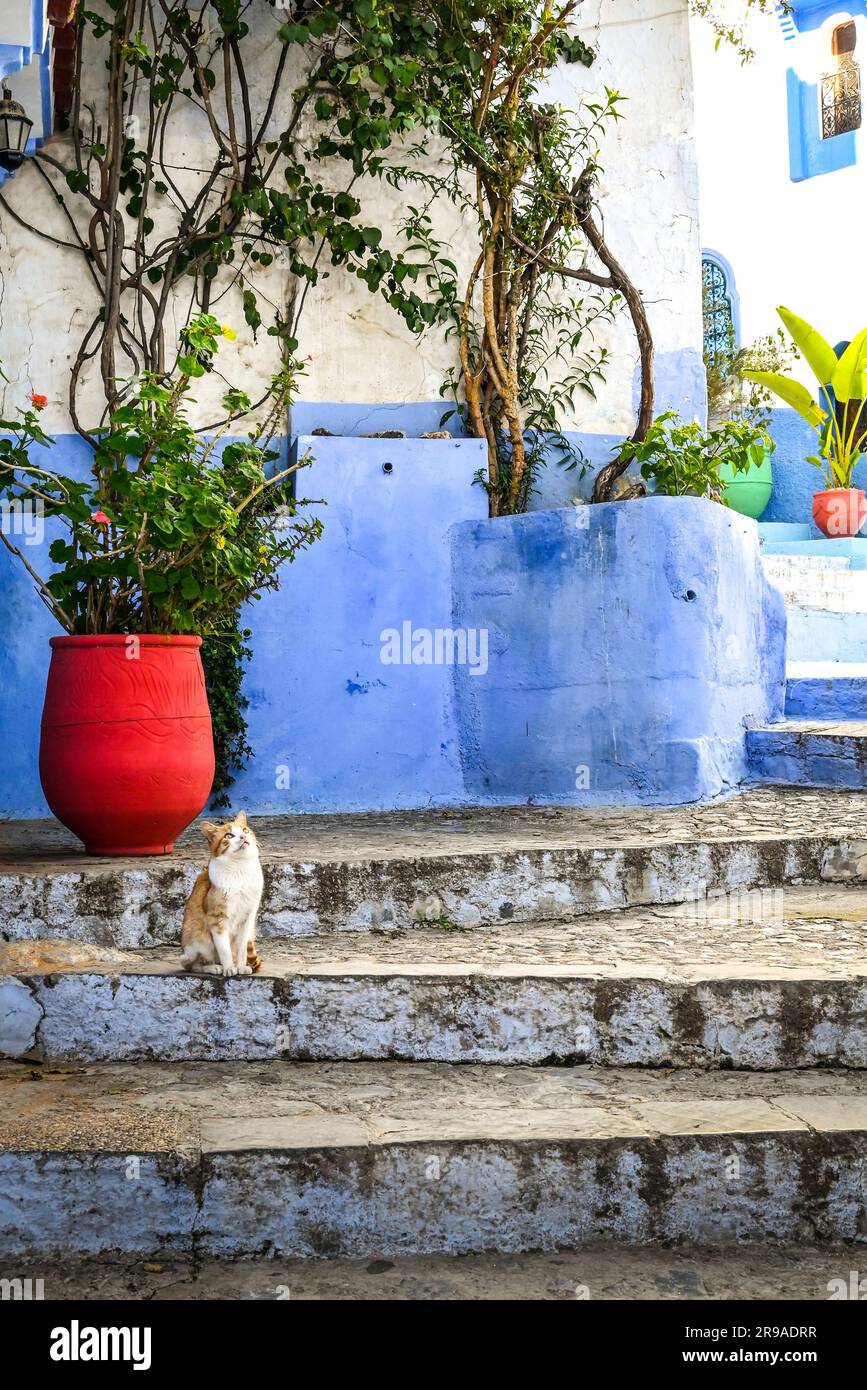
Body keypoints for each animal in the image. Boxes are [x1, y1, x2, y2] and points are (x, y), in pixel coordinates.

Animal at [180, 811, 262, 973]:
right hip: (199, 939)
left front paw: (240, 967)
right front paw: (229, 968)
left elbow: (242, 948)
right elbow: (224, 948)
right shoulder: (217, 918)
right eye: (228, 836)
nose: (243, 837)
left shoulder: (248, 918)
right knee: (192, 965)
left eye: (245, 830)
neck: (240, 869)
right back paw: (214, 967)